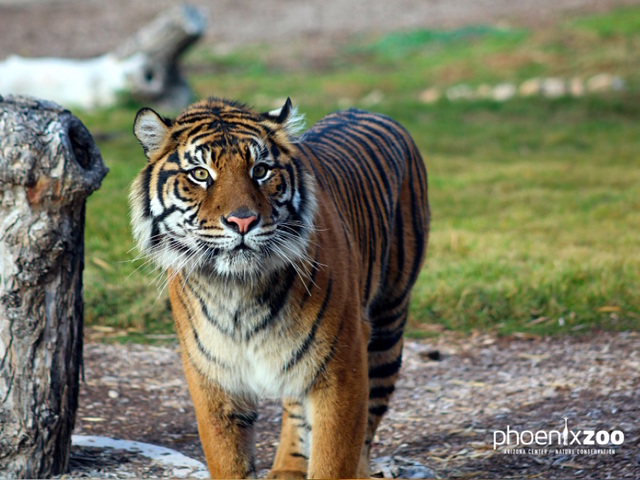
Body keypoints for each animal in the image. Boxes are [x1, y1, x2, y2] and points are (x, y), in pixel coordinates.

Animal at [129, 96, 429, 479]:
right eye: (200, 174)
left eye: (260, 170)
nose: (242, 221)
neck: (237, 291)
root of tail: (367, 110)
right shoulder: (213, 375)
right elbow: (228, 460)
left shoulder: (342, 366)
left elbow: (333, 458)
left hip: (387, 325)